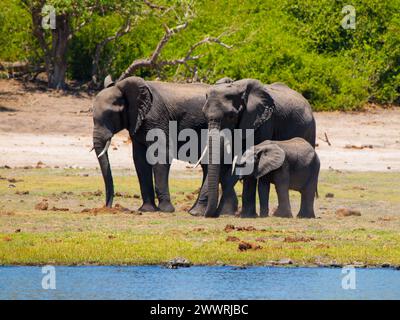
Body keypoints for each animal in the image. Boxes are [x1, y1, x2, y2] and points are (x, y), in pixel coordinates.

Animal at [92, 76, 236, 214]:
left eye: (110, 114)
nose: (107, 207)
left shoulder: (155, 117)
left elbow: (161, 155)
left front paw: (165, 210)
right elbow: (140, 159)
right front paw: (146, 210)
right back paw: (197, 211)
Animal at [203, 78, 316, 218]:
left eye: (231, 116)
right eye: (204, 115)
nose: (211, 215)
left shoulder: (263, 120)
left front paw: (248, 216)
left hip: (309, 128)